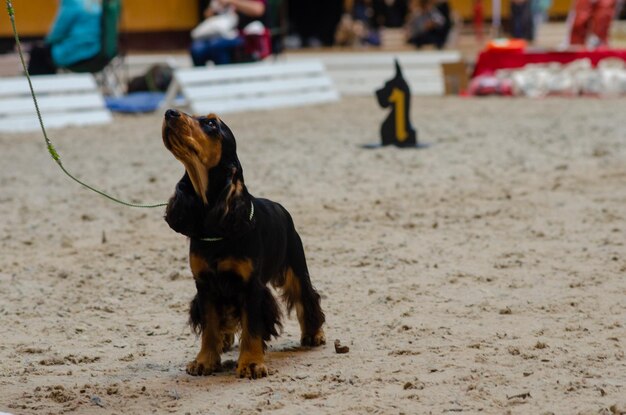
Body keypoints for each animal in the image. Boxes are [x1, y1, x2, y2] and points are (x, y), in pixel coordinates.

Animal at [161, 108, 324, 380]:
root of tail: (280, 207)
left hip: (295, 266)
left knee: (306, 298)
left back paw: (314, 334)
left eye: (211, 123)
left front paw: (251, 364)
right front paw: (204, 361)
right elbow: (210, 326)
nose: (169, 112)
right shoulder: (204, 284)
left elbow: (252, 326)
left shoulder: (250, 286)